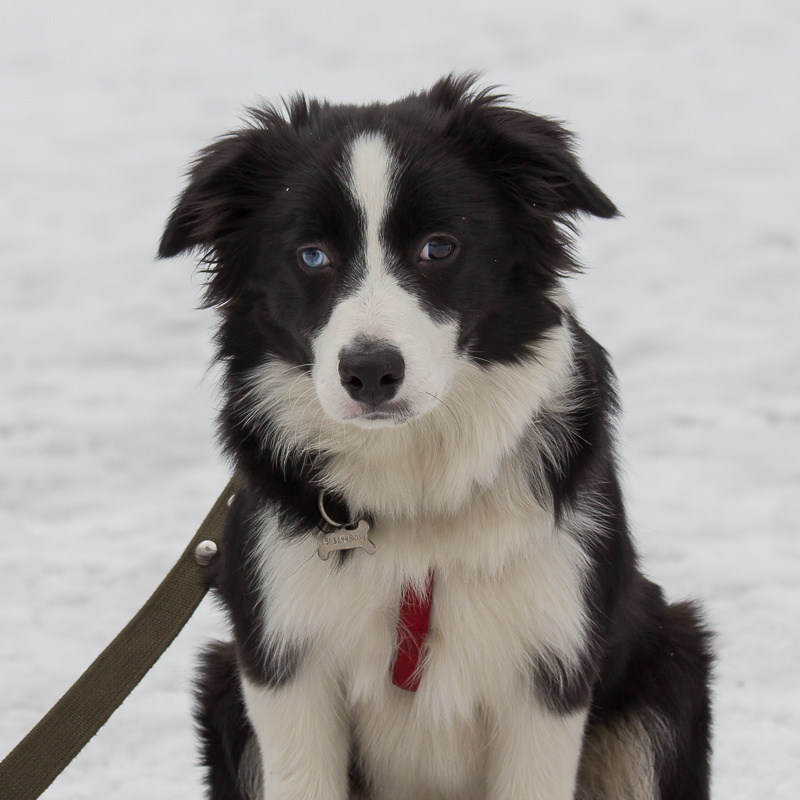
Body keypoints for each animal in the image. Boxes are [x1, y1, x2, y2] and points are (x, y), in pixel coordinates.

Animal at [158, 75, 712, 800]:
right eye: (312, 255)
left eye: (439, 247)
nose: (369, 372)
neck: (417, 482)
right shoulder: (283, 665)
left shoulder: (550, 673)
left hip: (670, 664)